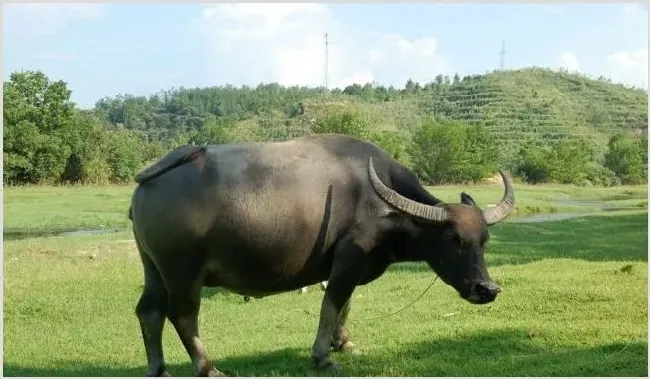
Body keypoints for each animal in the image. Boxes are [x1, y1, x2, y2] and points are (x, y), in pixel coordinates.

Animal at [129, 134, 512, 378]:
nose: (487, 290)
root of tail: (152, 178)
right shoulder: (347, 261)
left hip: (153, 268)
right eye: (453, 239)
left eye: (484, 240)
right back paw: (208, 368)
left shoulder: (350, 265)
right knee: (183, 316)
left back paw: (158, 368)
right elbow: (332, 304)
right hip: (182, 273)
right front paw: (323, 356)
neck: (381, 204)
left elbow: (346, 306)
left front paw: (345, 343)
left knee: (149, 311)